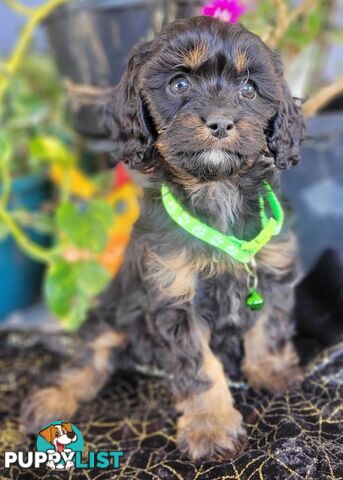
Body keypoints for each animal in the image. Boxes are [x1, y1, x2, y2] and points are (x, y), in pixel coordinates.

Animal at [21, 17, 306, 462]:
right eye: (178, 85)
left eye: (248, 89)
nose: (220, 122)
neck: (217, 189)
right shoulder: (174, 298)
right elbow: (200, 368)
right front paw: (211, 427)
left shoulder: (273, 271)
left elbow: (269, 326)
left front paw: (272, 371)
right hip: (111, 313)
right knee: (87, 359)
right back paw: (50, 402)